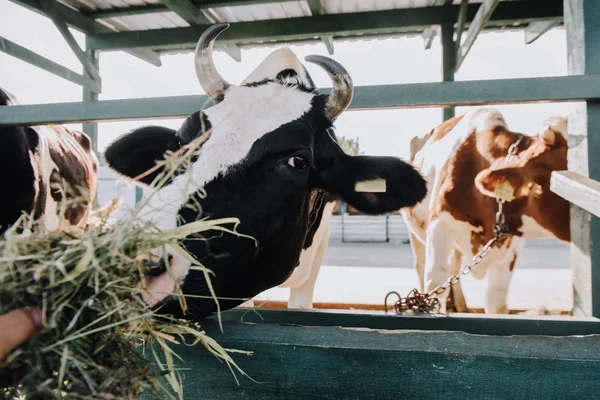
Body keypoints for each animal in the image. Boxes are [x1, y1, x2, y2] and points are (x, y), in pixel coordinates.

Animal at [400, 108, 568, 314]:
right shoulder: (439, 225)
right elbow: (435, 282)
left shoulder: (511, 247)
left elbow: (496, 301)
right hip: (416, 232)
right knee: (422, 264)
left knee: (453, 264)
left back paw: (460, 306)